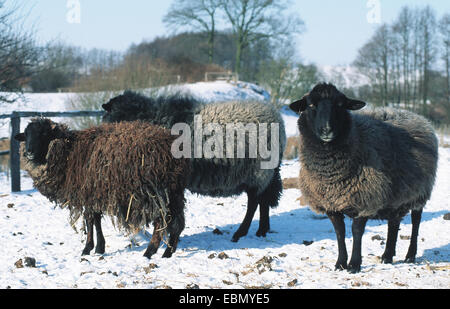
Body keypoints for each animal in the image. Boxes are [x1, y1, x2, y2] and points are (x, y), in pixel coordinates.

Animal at [14, 117, 190, 258]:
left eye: (44, 134)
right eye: (26, 134)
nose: (29, 152)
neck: (68, 152)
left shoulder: (87, 193)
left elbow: (90, 220)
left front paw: (88, 248)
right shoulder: (94, 194)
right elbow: (96, 220)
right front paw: (99, 248)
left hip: (154, 191)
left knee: (161, 221)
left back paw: (150, 251)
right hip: (174, 192)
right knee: (177, 223)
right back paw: (167, 253)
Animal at [101, 90, 284, 242]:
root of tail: (277, 118)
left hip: (258, 173)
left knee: (254, 202)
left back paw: (240, 233)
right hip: (266, 174)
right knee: (264, 200)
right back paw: (262, 231)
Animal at [290, 82, 438, 272]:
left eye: (340, 105)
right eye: (310, 105)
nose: (327, 130)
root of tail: (417, 116)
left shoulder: (365, 197)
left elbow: (356, 231)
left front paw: (354, 264)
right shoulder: (330, 203)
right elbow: (340, 232)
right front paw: (340, 263)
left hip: (420, 192)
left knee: (415, 221)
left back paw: (410, 255)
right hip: (396, 194)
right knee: (394, 222)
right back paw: (387, 256)